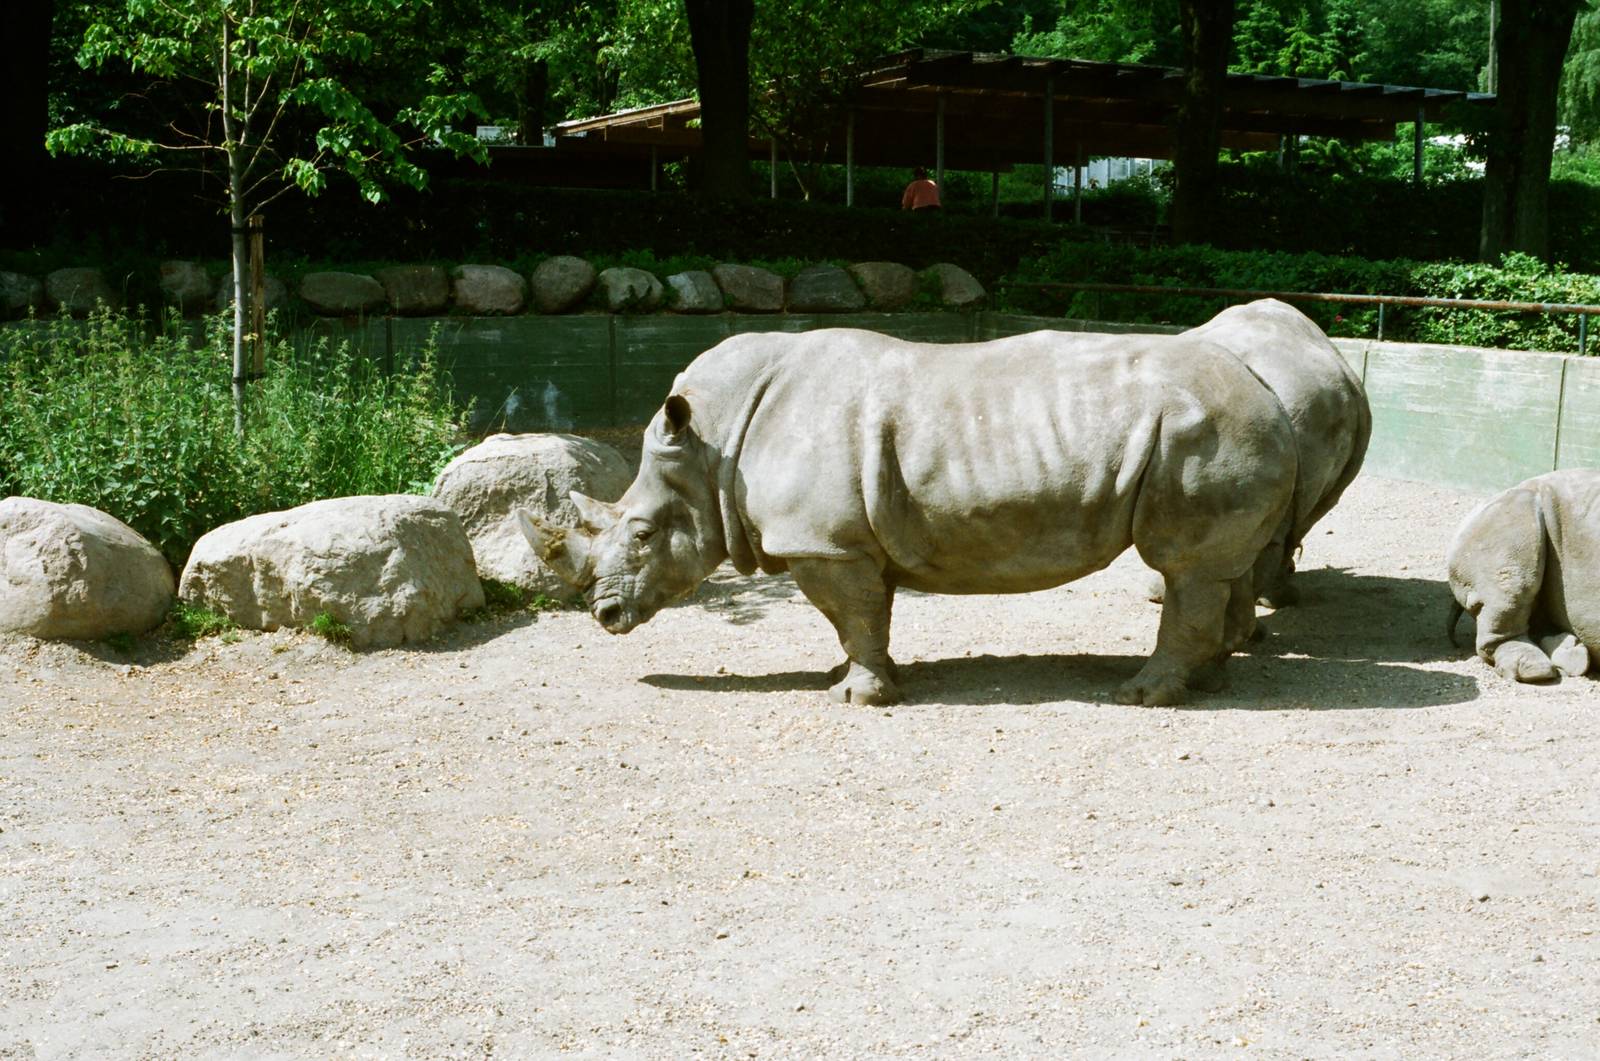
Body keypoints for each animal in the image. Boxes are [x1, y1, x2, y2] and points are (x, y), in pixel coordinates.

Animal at [518, 328, 1298, 706]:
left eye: (643, 534)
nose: (604, 615)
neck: (712, 442)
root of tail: (1267, 388)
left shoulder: (822, 542)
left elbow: (853, 614)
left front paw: (857, 699)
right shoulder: (848, 539)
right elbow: (867, 616)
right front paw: (856, 677)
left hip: (1206, 429)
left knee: (1185, 565)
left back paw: (1143, 695)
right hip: (1223, 428)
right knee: (1215, 567)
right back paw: (1210, 680)